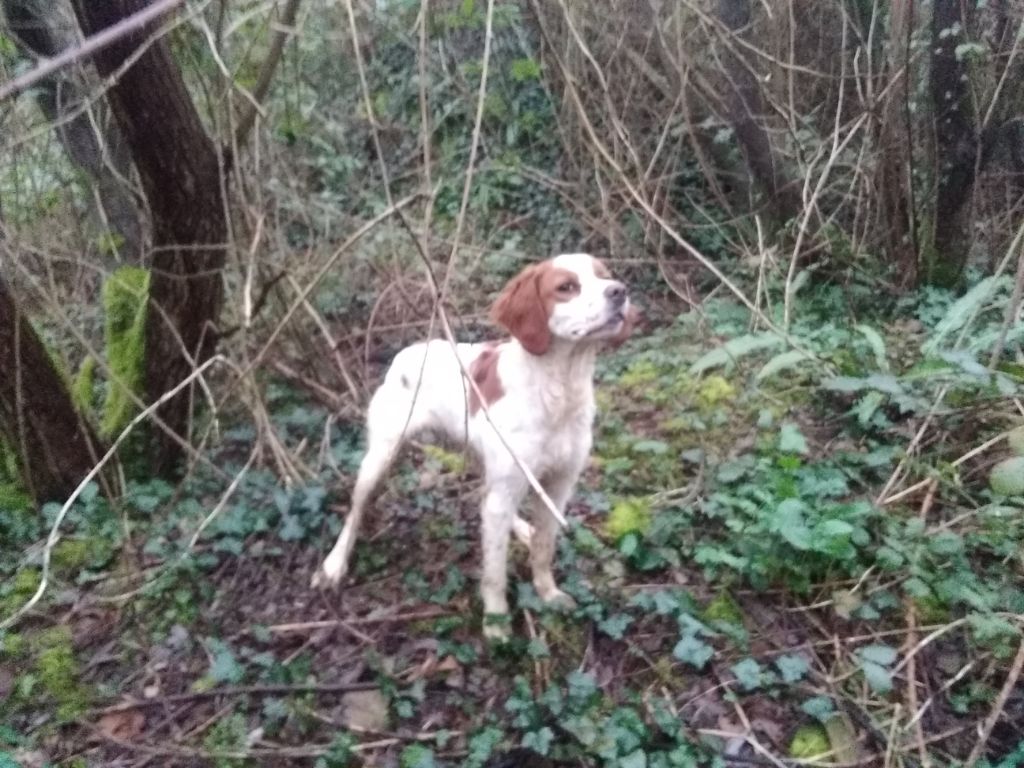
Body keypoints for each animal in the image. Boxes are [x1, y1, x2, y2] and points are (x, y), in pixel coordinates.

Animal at [311, 252, 630, 638]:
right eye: (566, 287)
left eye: (605, 276)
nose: (620, 291)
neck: (558, 391)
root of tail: (408, 352)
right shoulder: (510, 487)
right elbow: (494, 572)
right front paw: (496, 625)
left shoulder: (558, 486)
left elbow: (543, 547)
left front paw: (548, 594)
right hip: (380, 458)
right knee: (355, 511)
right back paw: (334, 565)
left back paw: (520, 528)